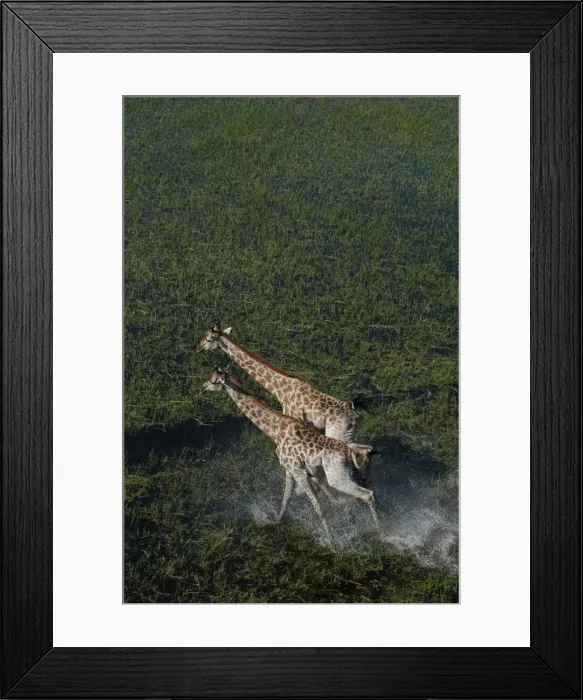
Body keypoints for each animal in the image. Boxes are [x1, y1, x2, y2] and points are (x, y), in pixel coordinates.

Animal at [197, 325, 375, 475]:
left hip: (337, 434)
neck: (280, 389)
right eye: (203, 336)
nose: (198, 348)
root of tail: (354, 414)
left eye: (208, 339)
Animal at [201, 367, 382, 536]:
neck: (275, 431)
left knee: (367, 494)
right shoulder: (290, 469)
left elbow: (318, 507)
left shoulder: (298, 470)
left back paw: (381, 534)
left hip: (336, 478)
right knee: (366, 480)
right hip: (346, 472)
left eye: (213, 381)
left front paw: (331, 540)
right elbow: (286, 498)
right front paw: (276, 523)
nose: (202, 388)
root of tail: (347, 453)